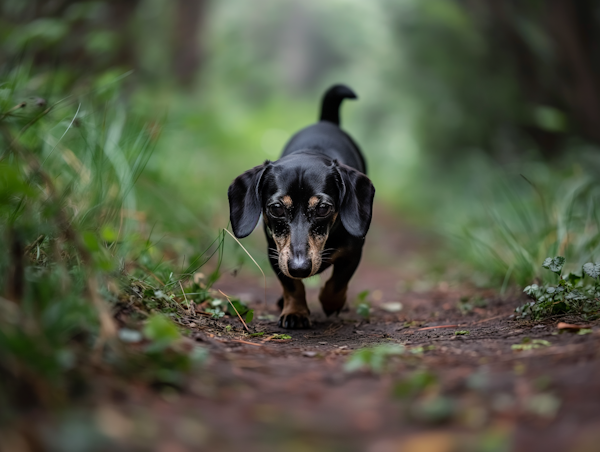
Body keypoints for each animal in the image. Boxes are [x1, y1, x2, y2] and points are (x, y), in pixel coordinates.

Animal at [229, 85, 376, 328]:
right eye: (276, 208)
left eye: (323, 208)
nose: (299, 267)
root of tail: (326, 121)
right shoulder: (277, 254)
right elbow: (292, 285)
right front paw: (295, 311)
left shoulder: (354, 252)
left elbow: (337, 284)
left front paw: (331, 303)